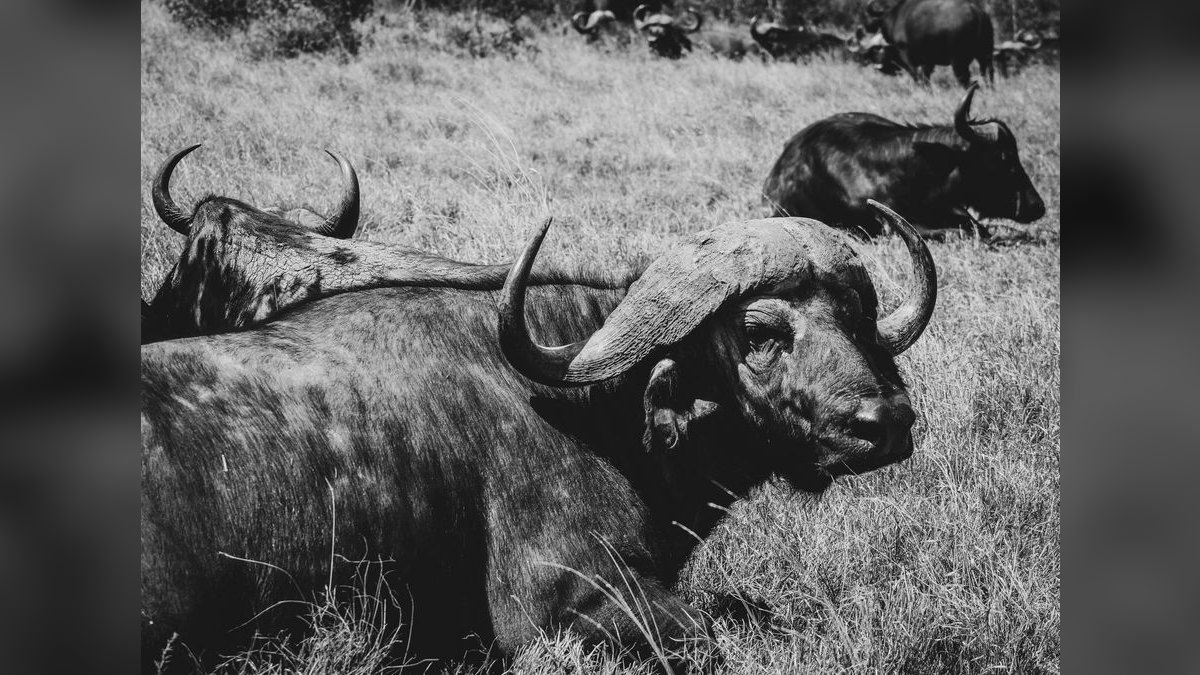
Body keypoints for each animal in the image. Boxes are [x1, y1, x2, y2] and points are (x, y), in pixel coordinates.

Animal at [142, 203, 937, 672]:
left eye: (858, 316)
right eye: (761, 330)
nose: (887, 422)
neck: (588, 408)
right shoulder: (561, 601)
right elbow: (713, 630)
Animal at [859, 0, 995, 87]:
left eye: (879, 50)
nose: (878, 67)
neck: (895, 18)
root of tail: (976, 12)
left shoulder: (907, 56)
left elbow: (916, 76)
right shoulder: (928, 61)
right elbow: (926, 77)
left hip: (959, 61)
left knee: (966, 79)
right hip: (985, 54)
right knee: (988, 73)